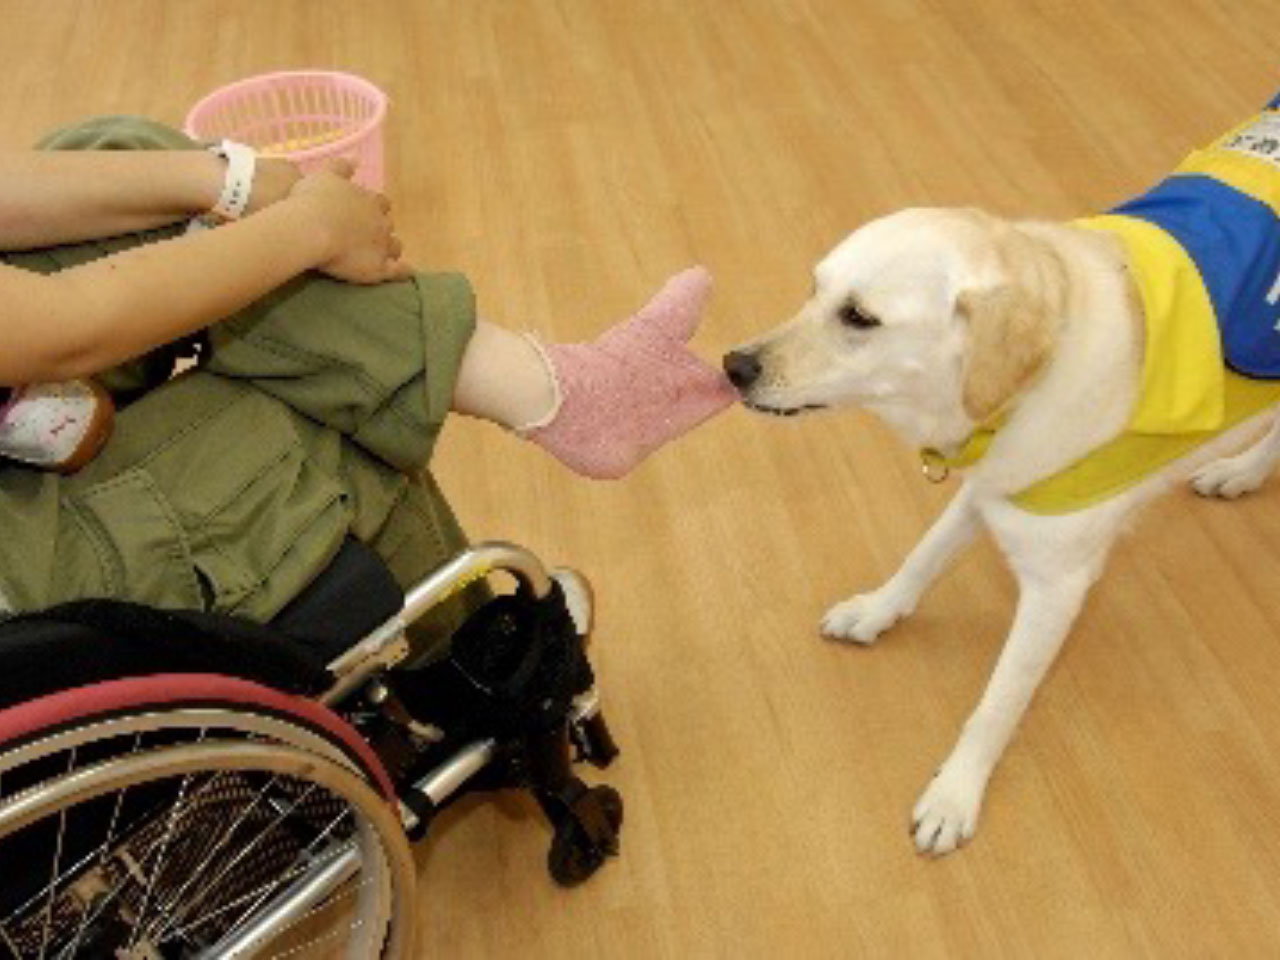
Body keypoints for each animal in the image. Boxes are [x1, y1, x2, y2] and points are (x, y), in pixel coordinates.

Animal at [727, 203, 1280, 855]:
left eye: (859, 316)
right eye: (814, 288)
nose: (733, 366)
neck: (1019, 398)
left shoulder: (1057, 587)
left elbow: (996, 705)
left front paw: (955, 793)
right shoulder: (991, 488)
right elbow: (923, 557)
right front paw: (876, 610)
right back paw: (1241, 472)